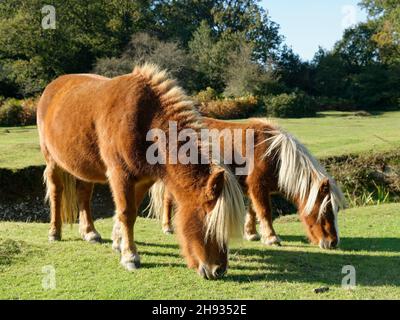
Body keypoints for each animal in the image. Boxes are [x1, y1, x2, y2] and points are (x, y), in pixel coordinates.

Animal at [37, 63, 244, 278]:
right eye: (209, 224)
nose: (218, 270)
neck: (146, 119)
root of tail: (52, 87)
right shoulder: (120, 176)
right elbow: (126, 213)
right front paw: (130, 256)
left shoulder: (144, 180)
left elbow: (132, 211)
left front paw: (119, 242)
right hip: (52, 161)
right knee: (56, 192)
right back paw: (54, 232)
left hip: (83, 165)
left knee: (83, 194)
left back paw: (89, 232)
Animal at [150, 117, 346, 250]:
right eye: (325, 211)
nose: (333, 242)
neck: (274, 154)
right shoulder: (258, 187)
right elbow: (265, 212)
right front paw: (272, 238)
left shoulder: (255, 188)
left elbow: (253, 210)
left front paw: (251, 233)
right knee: (168, 199)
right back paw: (167, 227)